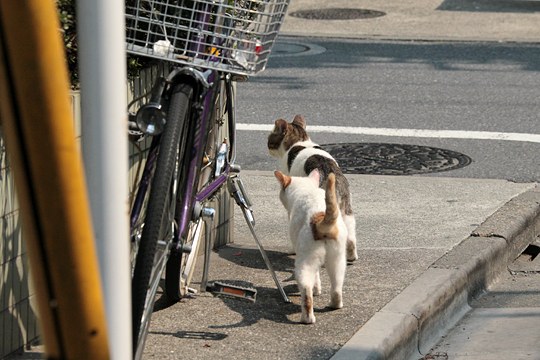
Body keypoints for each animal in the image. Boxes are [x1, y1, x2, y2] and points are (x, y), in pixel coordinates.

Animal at [266, 115, 358, 262]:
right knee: (350, 236)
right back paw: (351, 257)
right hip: (346, 210)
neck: (300, 141)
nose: (268, 147)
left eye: (270, 139)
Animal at [274, 169, 346, 324]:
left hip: (304, 262)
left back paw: (307, 318)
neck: (306, 189)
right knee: (337, 287)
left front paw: (316, 290)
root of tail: (320, 218)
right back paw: (335, 304)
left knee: (306, 294)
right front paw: (318, 290)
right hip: (337, 260)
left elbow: (315, 278)